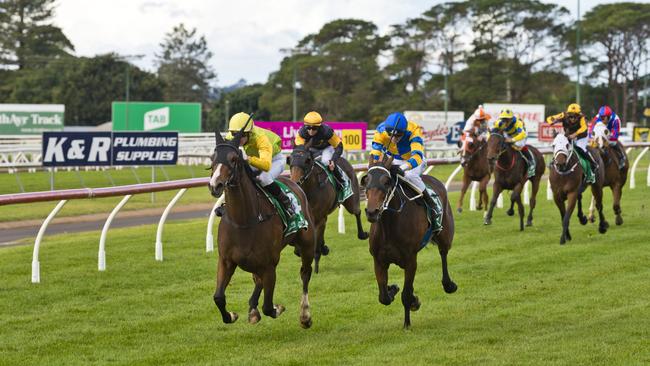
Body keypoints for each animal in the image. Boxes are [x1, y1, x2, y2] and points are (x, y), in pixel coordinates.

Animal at [206, 130, 316, 328]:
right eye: (213, 157)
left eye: (234, 158)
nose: (215, 185)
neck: (243, 221)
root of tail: (295, 184)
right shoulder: (226, 261)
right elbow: (218, 297)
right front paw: (232, 315)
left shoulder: (269, 265)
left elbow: (268, 306)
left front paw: (278, 308)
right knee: (258, 280)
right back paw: (252, 310)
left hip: (307, 244)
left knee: (305, 274)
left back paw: (305, 315)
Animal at [290, 144, 368, 274]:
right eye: (289, 159)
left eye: (307, 160)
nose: (295, 183)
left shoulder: (319, 219)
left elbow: (315, 247)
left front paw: (316, 267)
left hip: (351, 201)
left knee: (357, 212)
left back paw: (362, 234)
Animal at [360, 157, 456, 328]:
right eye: (366, 180)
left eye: (386, 182)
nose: (372, 212)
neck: (389, 225)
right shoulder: (379, 261)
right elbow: (383, 297)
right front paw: (392, 289)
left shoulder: (411, 260)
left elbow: (406, 294)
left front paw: (408, 320)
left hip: (445, 234)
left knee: (443, 254)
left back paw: (448, 284)